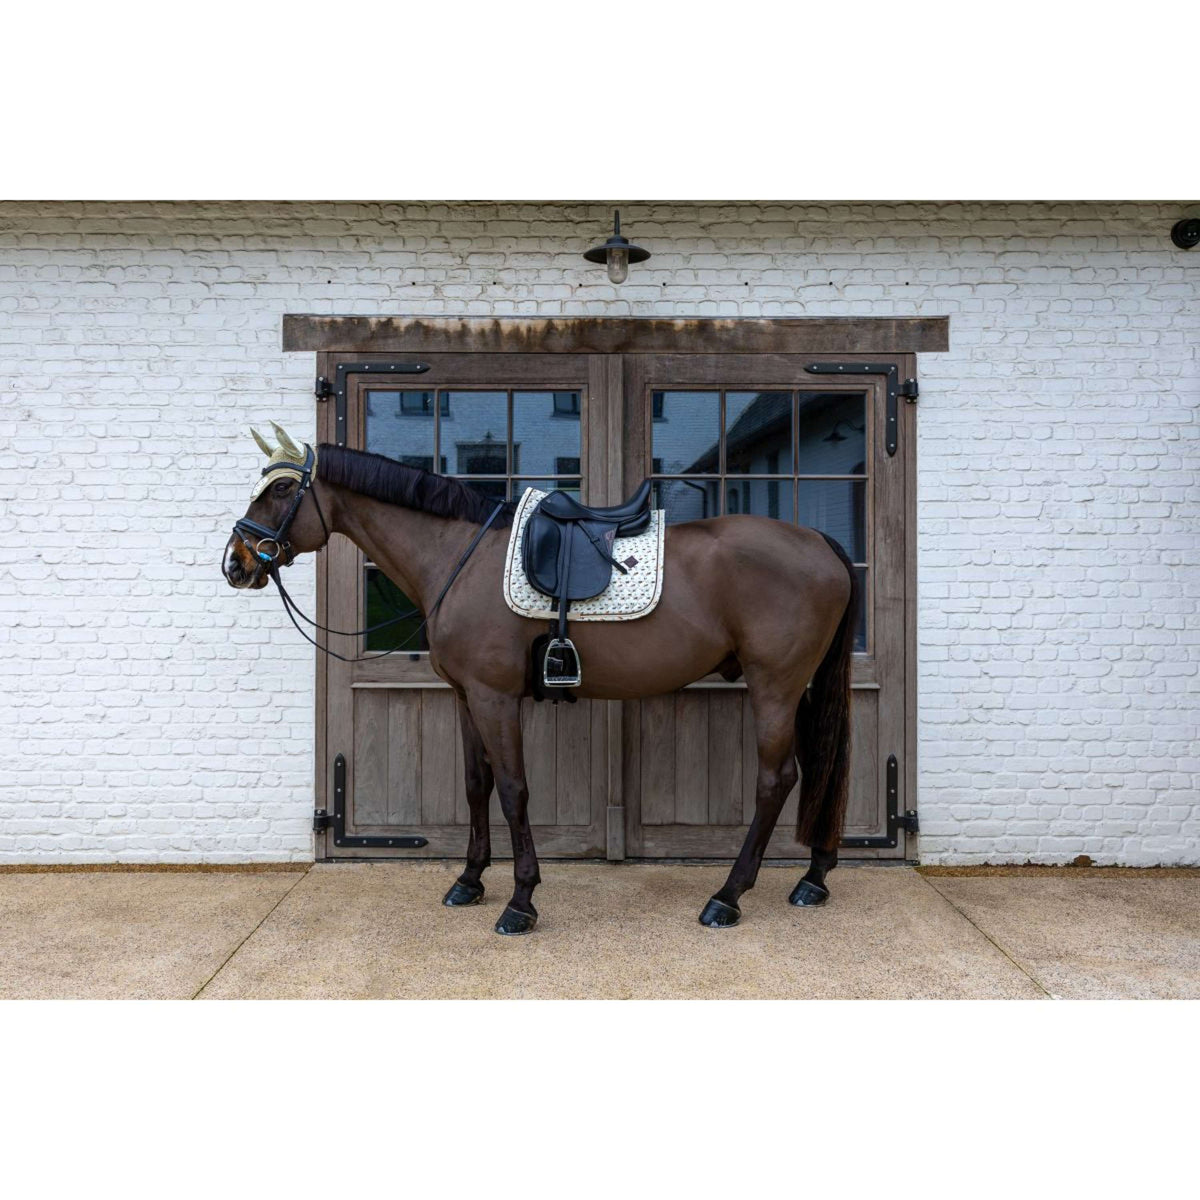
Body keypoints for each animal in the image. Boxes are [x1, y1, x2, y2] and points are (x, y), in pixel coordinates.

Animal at [222, 424, 856, 936]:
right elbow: (476, 784)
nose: (237, 562)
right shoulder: (465, 696)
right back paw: (814, 878)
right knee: (823, 764)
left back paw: (728, 896)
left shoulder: (495, 698)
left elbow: (512, 789)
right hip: (799, 687)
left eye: (281, 490)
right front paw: (470, 881)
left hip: (774, 686)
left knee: (776, 779)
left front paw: (521, 902)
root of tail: (821, 543)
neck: (459, 556)